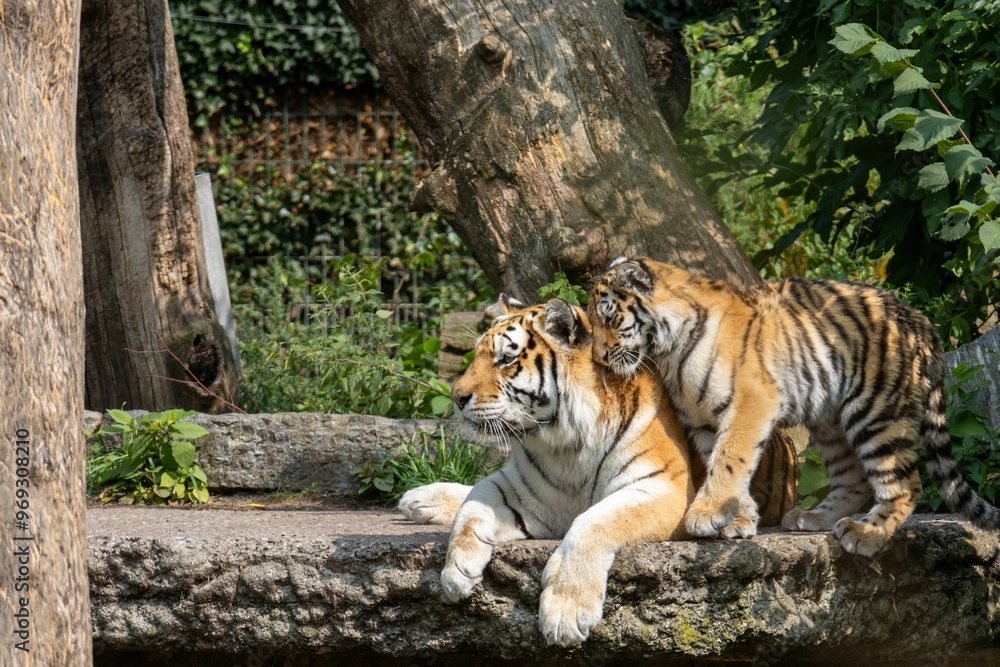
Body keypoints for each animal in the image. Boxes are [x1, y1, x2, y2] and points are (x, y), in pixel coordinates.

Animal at [398, 298, 696, 648]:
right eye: (475, 356)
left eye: (506, 358)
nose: (456, 398)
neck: (567, 446)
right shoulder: (518, 489)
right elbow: (474, 503)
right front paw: (457, 569)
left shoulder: (665, 487)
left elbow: (594, 521)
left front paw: (566, 612)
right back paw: (418, 499)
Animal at [584, 258, 1000, 560]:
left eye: (609, 318)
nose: (599, 356)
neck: (668, 352)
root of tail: (921, 320)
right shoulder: (702, 420)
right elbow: (727, 464)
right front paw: (736, 519)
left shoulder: (751, 403)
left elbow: (729, 459)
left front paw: (707, 513)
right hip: (831, 422)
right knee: (854, 478)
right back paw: (815, 517)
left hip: (876, 412)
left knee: (903, 484)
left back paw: (866, 533)